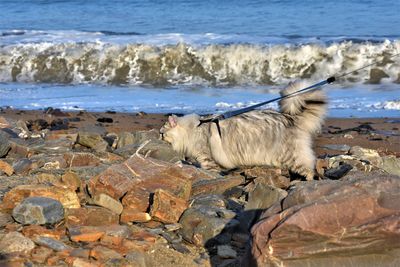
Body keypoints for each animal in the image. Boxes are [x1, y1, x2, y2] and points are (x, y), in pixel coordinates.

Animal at [160, 80, 328, 181]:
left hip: (292, 156)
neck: (193, 129)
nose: (159, 136)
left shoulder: (207, 158)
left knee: (309, 169)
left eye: (162, 133)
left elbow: (212, 171)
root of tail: (290, 118)